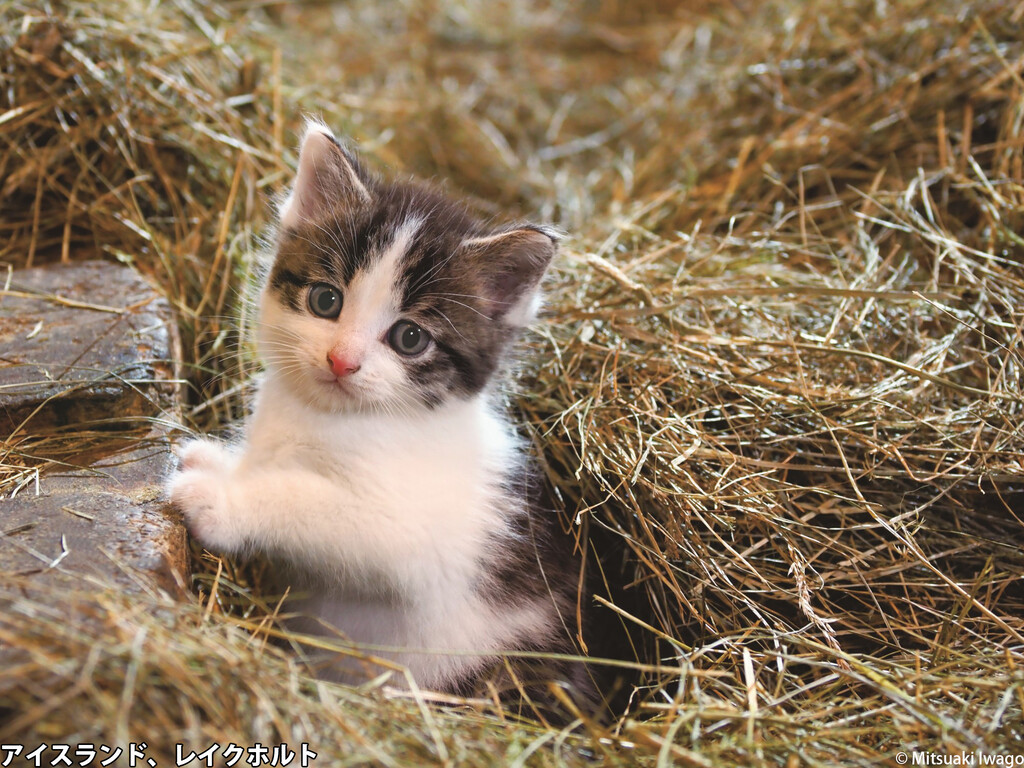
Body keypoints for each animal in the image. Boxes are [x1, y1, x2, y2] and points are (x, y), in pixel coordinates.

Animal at [167, 120, 593, 716]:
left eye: (410, 338)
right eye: (325, 300)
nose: (341, 360)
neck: (333, 417)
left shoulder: (413, 538)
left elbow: (310, 503)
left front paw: (220, 497)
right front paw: (220, 462)